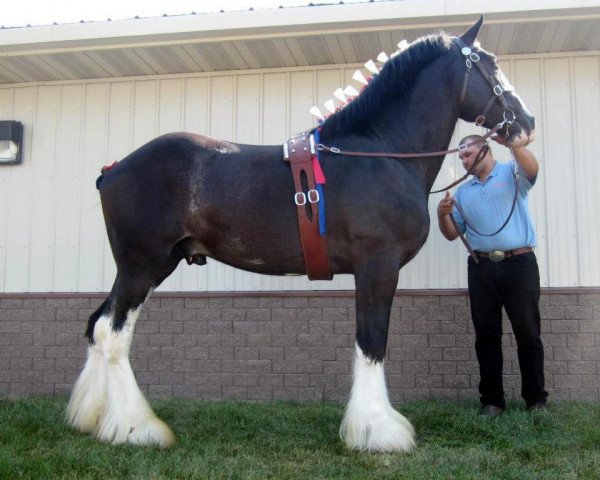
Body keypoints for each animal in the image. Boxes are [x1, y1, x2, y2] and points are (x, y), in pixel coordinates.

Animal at [65, 17, 536, 454]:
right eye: (491, 64)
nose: (526, 122)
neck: (379, 152)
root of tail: (113, 171)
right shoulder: (377, 266)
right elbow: (372, 342)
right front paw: (378, 432)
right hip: (141, 266)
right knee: (112, 333)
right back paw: (138, 428)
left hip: (152, 266)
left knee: (99, 325)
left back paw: (93, 418)